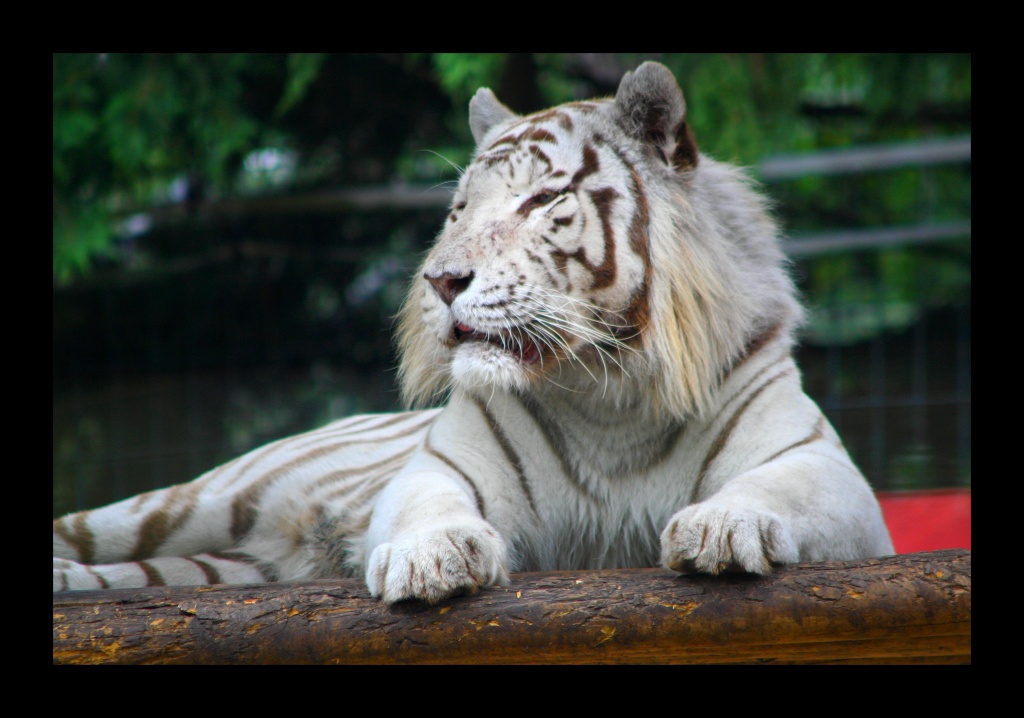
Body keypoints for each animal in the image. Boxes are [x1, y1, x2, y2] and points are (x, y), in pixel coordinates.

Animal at [51, 61, 892, 602]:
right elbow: (426, 505)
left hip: (220, 561)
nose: (441, 279)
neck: (609, 392)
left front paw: (721, 528)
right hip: (190, 502)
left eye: (540, 201)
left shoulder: (826, 472)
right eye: (459, 209)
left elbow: (771, 487)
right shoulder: (442, 466)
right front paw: (432, 560)